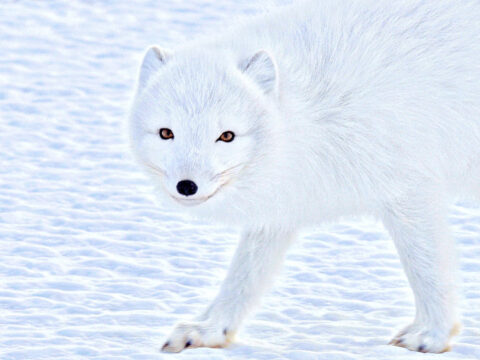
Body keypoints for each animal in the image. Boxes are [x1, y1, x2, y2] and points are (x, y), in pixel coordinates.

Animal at [127, 0, 480, 354]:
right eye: (166, 133)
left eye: (226, 136)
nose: (186, 186)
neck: (312, 112)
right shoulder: (281, 206)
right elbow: (243, 277)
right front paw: (210, 329)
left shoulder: (408, 190)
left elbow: (427, 269)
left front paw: (432, 335)